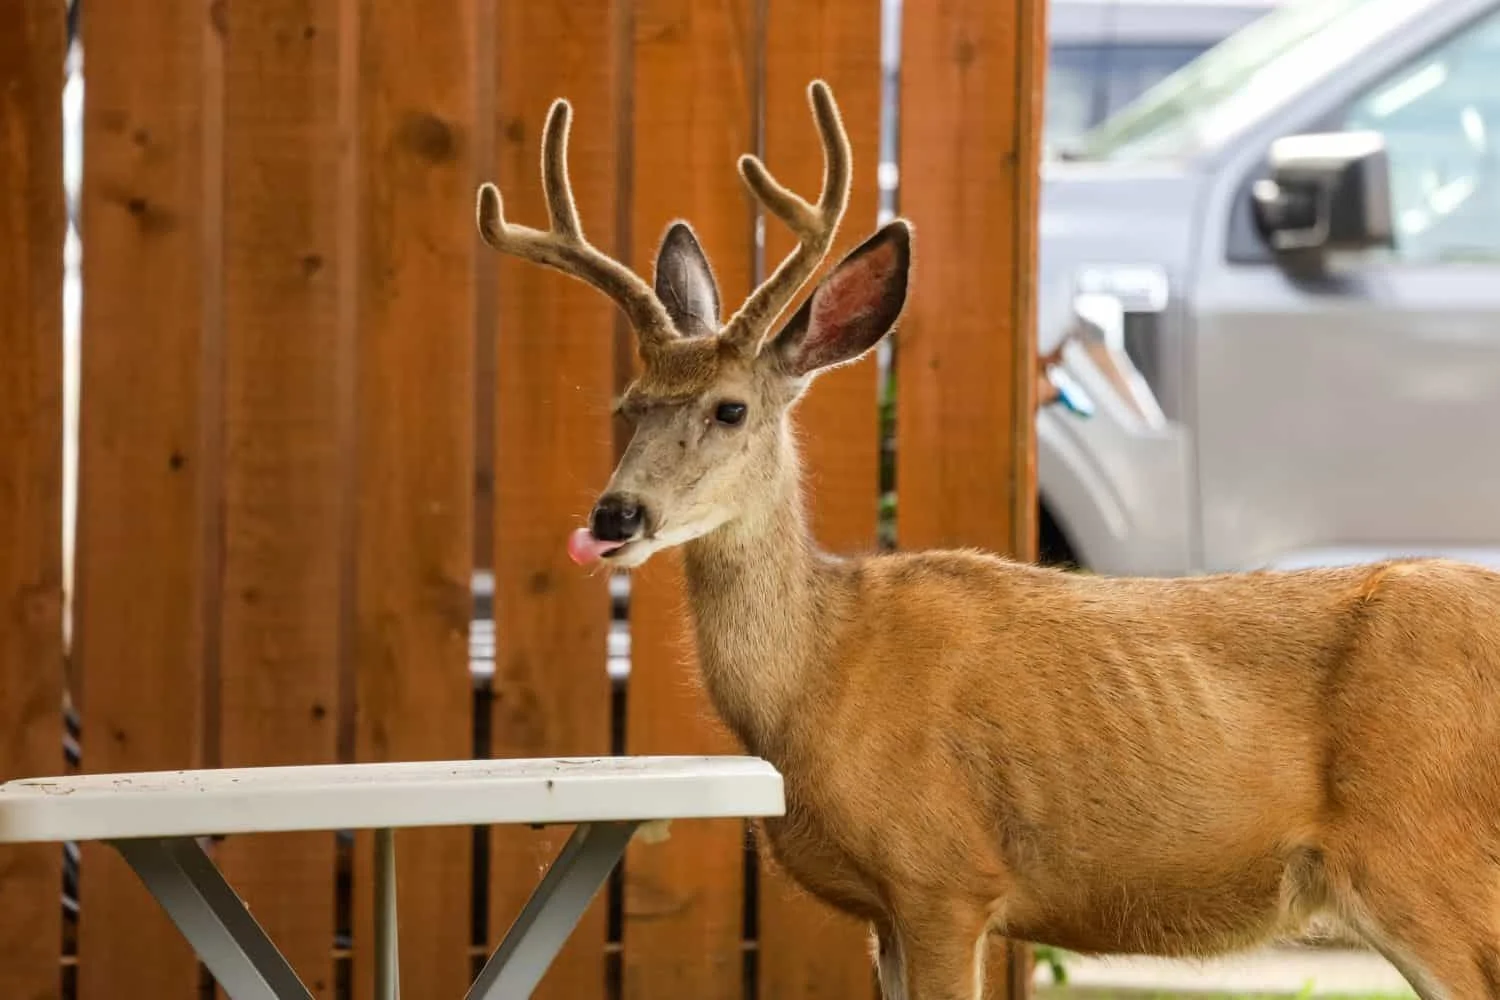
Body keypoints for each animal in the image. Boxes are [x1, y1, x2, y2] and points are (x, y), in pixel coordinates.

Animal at [477, 80, 1500, 1000]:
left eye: (730, 409)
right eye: (628, 406)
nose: (614, 517)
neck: (820, 678)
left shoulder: (944, 875)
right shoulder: (885, 912)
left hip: (1425, 855)